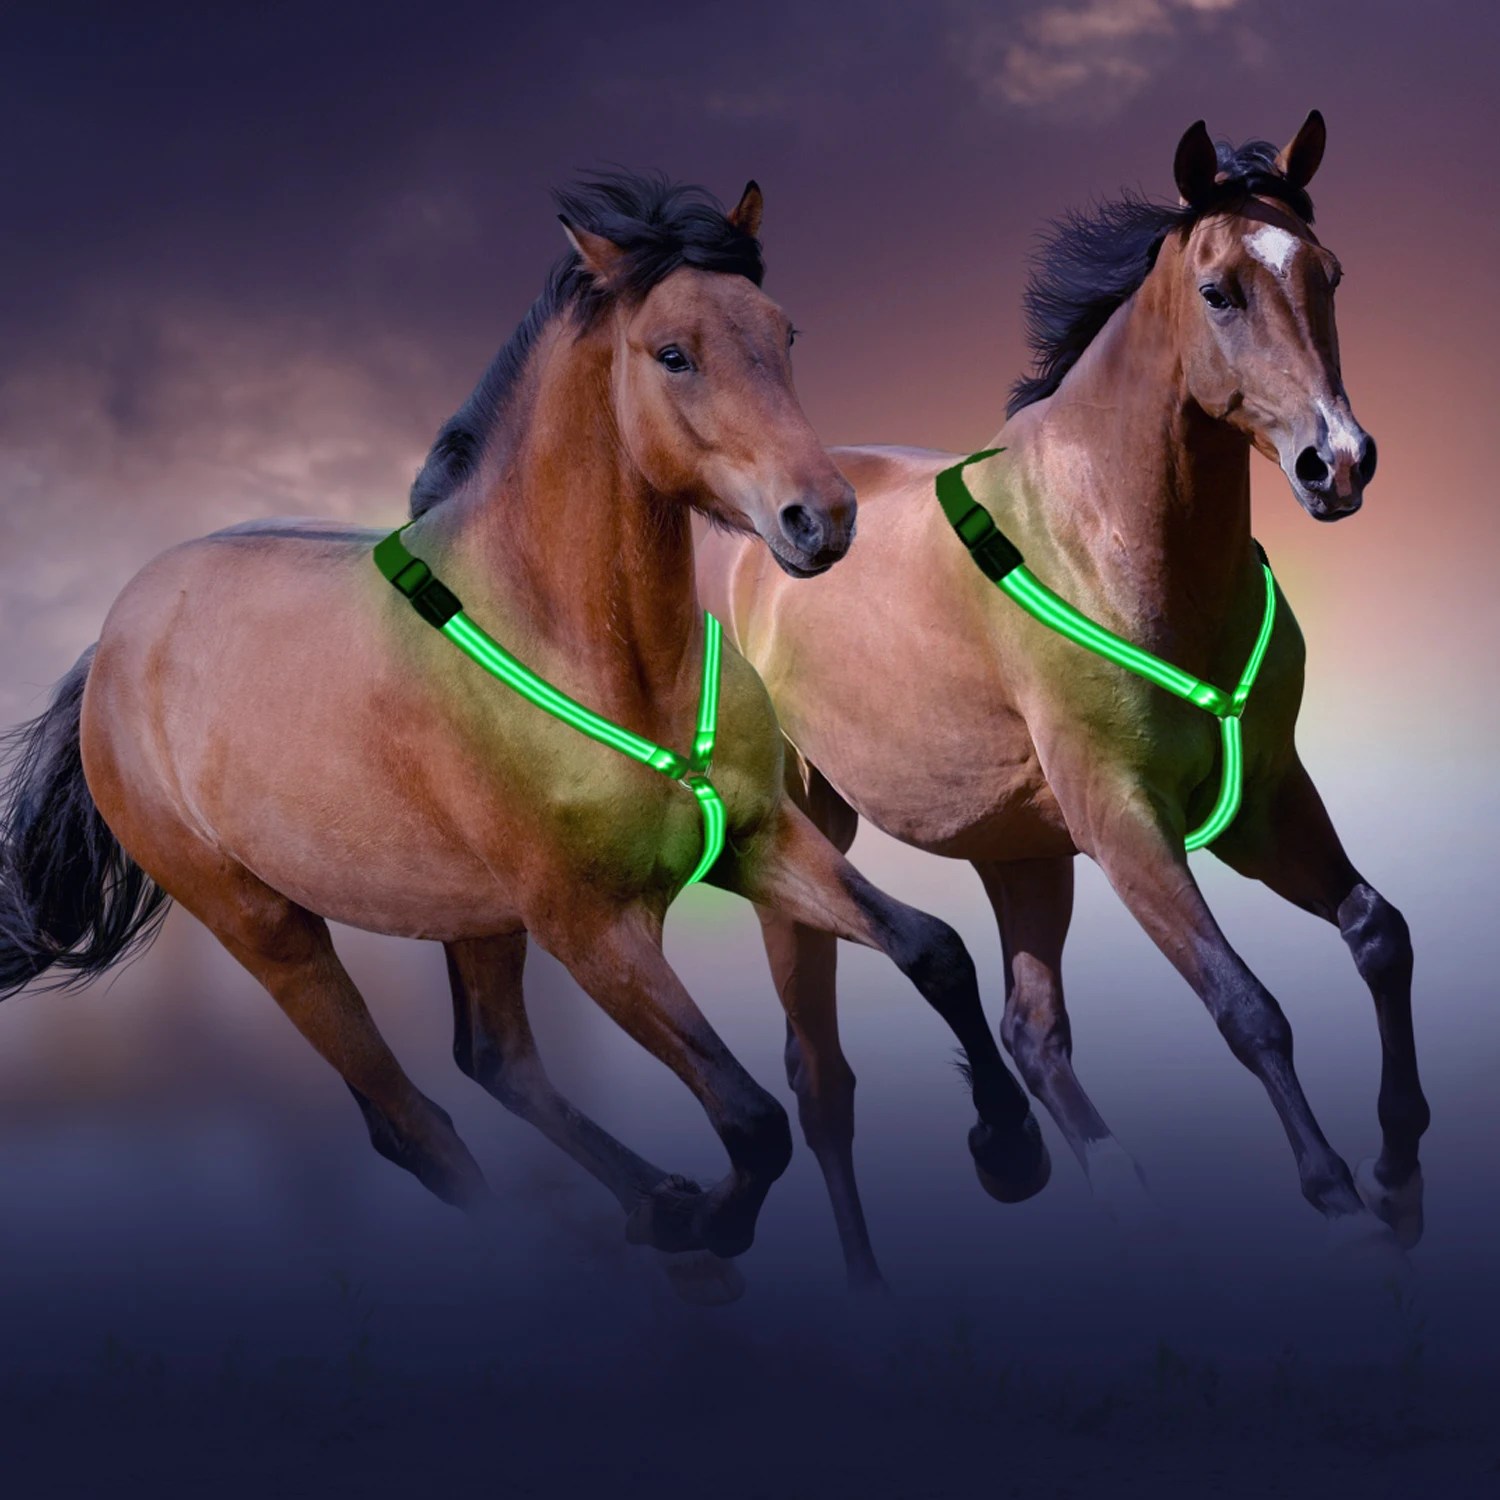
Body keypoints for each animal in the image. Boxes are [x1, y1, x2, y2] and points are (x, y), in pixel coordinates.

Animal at [0, 172, 1046, 1305]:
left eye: (784, 330)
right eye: (672, 353)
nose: (822, 520)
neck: (595, 657)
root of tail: (113, 643)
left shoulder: (758, 840)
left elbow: (934, 953)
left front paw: (1010, 1150)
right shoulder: (592, 929)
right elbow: (752, 1119)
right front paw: (705, 1226)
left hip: (470, 914)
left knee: (494, 1059)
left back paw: (651, 1203)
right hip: (270, 929)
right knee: (412, 1124)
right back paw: (622, 1237)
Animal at [700, 114, 1426, 1286]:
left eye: (1329, 274)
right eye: (1219, 289)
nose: (1340, 462)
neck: (1111, 544)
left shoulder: (1264, 797)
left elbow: (1378, 933)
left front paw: (1400, 1176)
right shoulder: (1123, 816)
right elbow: (1246, 1006)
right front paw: (1341, 1203)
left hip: (1021, 853)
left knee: (1030, 1032)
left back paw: (1094, 1187)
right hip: (806, 836)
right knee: (822, 1081)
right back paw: (873, 1280)